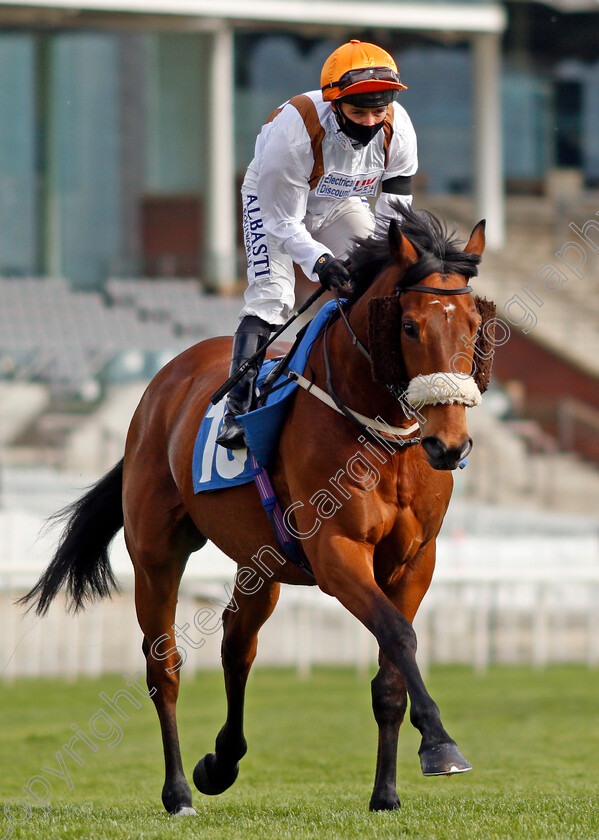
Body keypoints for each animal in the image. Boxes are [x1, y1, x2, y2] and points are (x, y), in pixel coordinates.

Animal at [22, 207, 492, 816]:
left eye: (475, 327)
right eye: (409, 326)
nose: (450, 445)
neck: (377, 429)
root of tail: (162, 382)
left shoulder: (416, 560)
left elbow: (391, 668)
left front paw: (386, 793)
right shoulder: (337, 552)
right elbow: (398, 635)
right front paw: (439, 743)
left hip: (261, 560)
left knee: (237, 643)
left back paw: (221, 761)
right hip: (155, 555)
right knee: (163, 666)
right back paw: (179, 791)